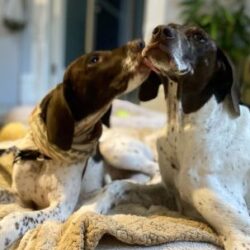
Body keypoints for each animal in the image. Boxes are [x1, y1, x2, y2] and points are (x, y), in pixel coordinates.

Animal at [0, 39, 152, 248]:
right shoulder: (21, 196)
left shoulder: (60, 208)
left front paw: (3, 231)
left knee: (153, 169)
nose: (141, 43)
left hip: (115, 151)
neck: (43, 157)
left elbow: (19, 216)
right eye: (94, 59)